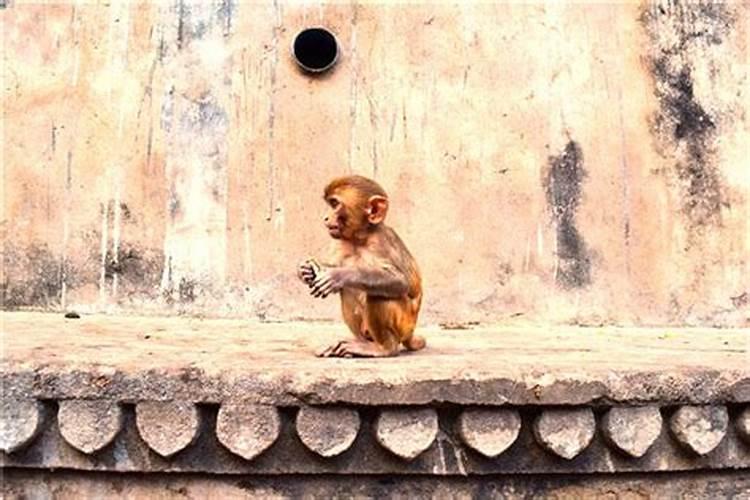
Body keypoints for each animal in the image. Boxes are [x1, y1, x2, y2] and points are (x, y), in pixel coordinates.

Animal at [302, 175, 428, 356]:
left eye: (335, 204)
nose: (325, 218)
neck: (360, 238)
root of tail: (410, 333)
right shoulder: (341, 242)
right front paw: (307, 270)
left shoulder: (381, 241)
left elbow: (400, 281)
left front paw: (338, 275)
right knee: (349, 290)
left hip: (405, 324)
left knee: (378, 293)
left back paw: (383, 348)